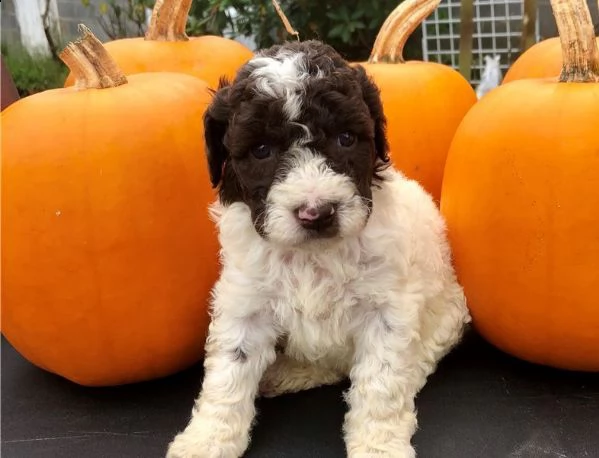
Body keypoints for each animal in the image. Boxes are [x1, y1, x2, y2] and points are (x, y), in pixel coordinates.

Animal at [166, 40, 472, 458]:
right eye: (261, 149)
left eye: (346, 139)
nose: (317, 213)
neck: (312, 255)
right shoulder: (245, 301)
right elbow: (229, 371)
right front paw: (207, 440)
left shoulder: (387, 309)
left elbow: (381, 380)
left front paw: (379, 445)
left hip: (448, 315)